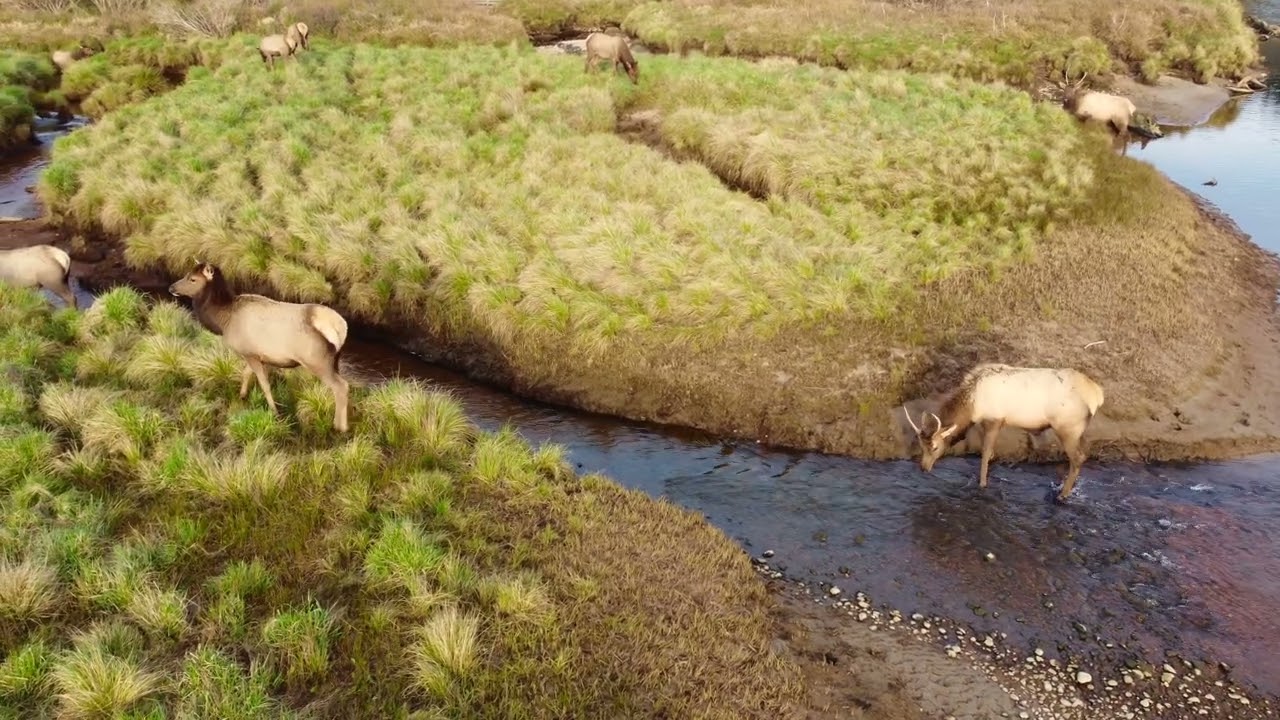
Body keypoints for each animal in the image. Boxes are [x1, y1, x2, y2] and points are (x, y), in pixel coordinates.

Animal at [904, 363, 1105, 503]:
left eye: (934, 447)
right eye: (921, 445)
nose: (923, 468)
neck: (972, 406)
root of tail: (1096, 395)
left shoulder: (994, 419)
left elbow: (985, 453)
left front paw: (982, 484)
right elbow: (991, 454)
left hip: (1067, 428)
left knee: (1078, 458)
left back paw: (1062, 496)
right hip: (1080, 431)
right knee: (1084, 453)